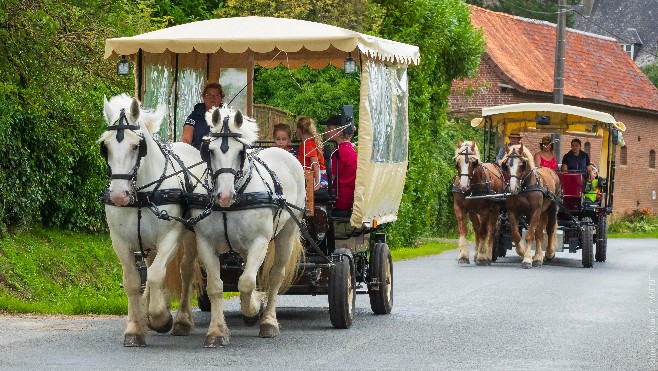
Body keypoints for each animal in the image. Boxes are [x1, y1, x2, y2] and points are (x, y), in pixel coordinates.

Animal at [98, 94, 202, 348]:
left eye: (137, 145)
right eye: (105, 146)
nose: (119, 195)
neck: (142, 194)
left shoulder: (170, 236)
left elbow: (155, 276)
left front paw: (160, 318)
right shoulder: (120, 241)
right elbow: (133, 281)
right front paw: (135, 328)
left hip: (191, 235)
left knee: (185, 271)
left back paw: (182, 320)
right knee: (152, 266)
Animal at [188, 107, 304, 348]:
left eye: (241, 151)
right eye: (210, 151)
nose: (224, 196)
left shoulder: (259, 242)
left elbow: (247, 282)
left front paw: (253, 309)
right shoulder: (205, 243)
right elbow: (216, 286)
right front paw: (217, 332)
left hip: (287, 233)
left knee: (275, 275)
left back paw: (268, 321)